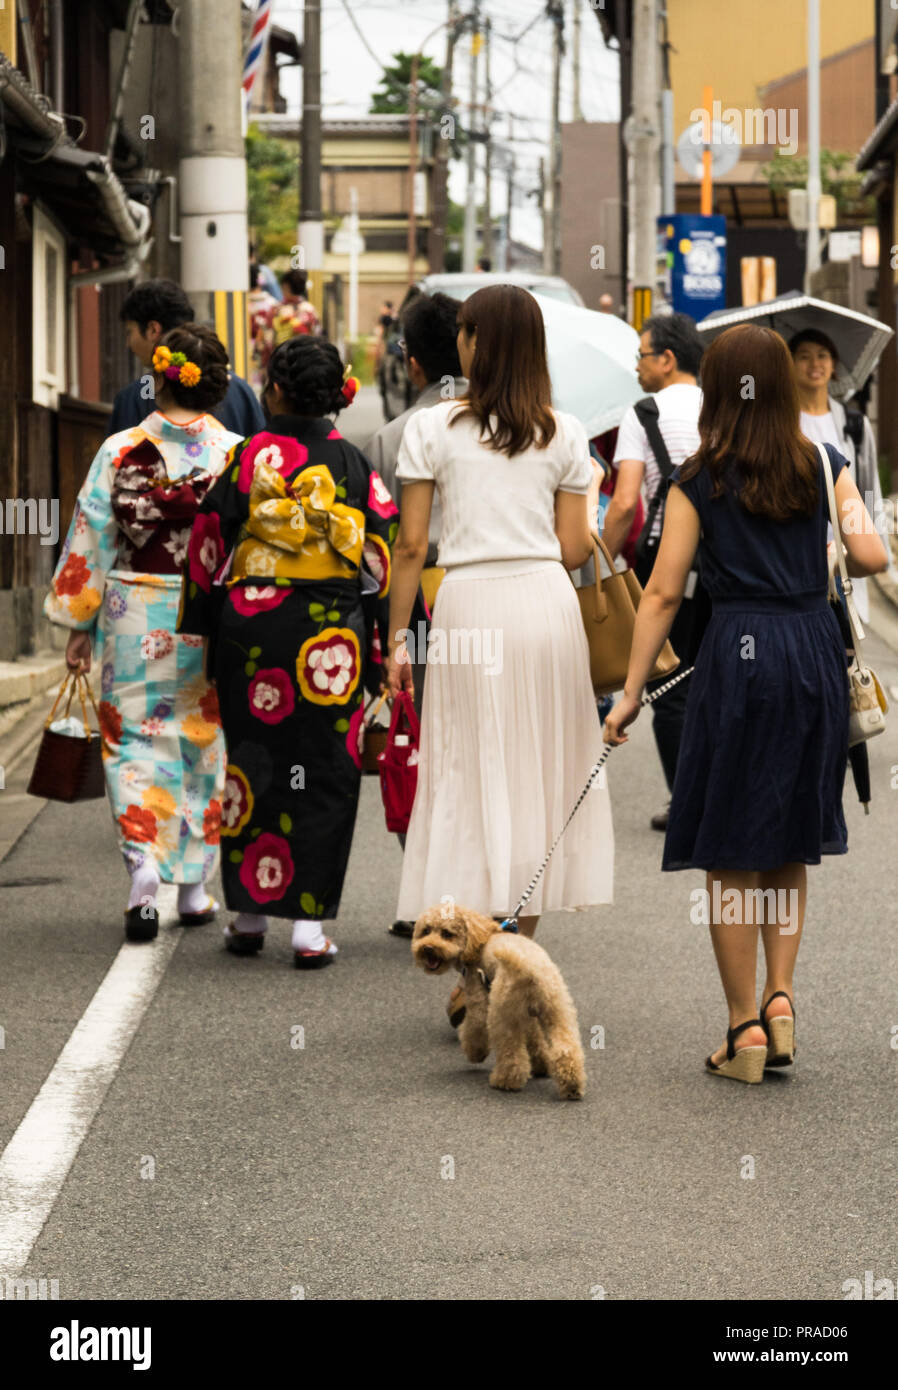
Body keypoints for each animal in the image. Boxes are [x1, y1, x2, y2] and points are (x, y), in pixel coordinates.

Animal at [411, 906, 586, 1100]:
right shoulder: (529, 1017)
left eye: (447, 934)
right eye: (426, 931)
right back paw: (572, 1086)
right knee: (566, 1050)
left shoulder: (478, 1001)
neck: (481, 939)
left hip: (501, 1015)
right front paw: (541, 1066)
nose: (427, 948)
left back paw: (504, 1081)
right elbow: (535, 1040)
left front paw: (475, 1054)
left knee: (512, 1056)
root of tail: (528, 969)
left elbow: (474, 1030)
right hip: (557, 1012)